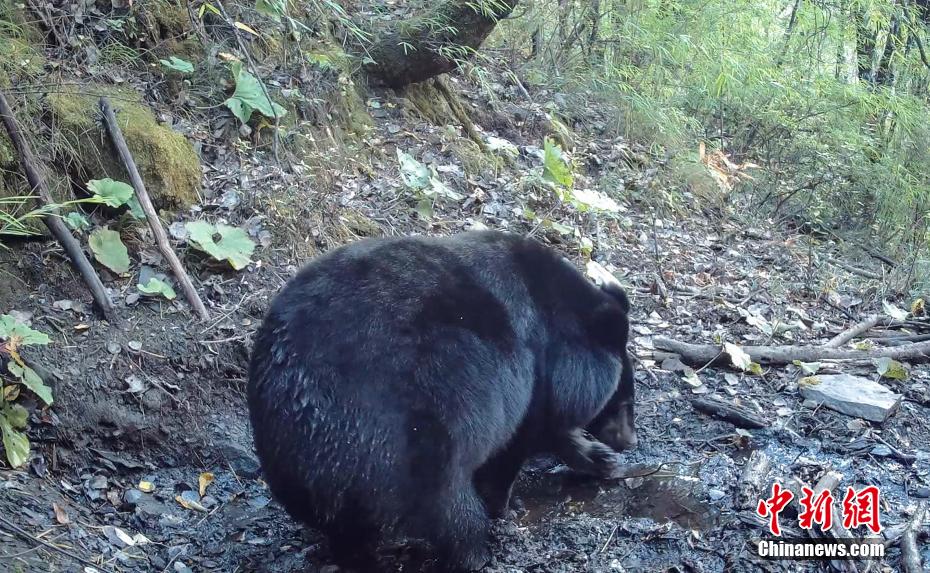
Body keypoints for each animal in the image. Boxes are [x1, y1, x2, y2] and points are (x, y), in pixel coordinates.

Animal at [246, 230, 636, 568]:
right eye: (622, 401)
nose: (630, 440)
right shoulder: (526, 375)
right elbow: (516, 444)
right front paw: (506, 507)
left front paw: (601, 459)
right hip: (417, 432)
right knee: (448, 503)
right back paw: (475, 550)